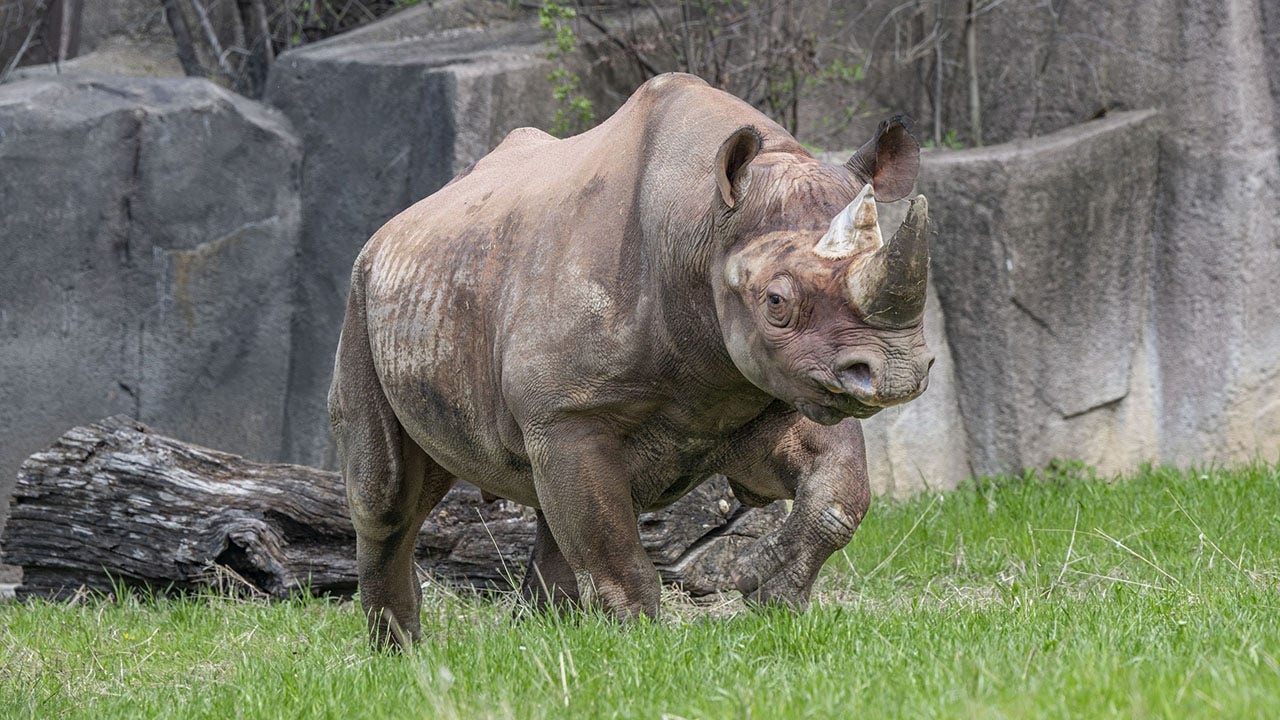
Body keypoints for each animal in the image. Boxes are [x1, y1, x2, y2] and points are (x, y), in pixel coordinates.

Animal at [329, 73, 933, 646]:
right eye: (776, 303)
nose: (898, 372)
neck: (700, 225)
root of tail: (394, 227)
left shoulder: (783, 385)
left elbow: (841, 495)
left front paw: (765, 588)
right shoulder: (568, 412)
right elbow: (614, 555)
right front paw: (641, 643)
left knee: (544, 508)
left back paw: (541, 638)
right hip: (361, 295)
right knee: (386, 498)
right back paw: (402, 656)